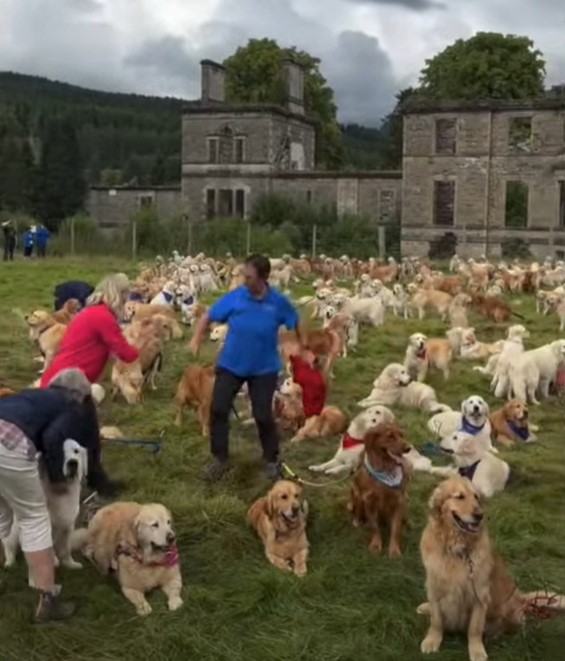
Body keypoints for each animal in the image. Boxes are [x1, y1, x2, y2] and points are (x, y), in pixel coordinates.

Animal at [2, 444, 87, 576]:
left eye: (76, 451)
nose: (73, 463)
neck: (60, 490)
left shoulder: (67, 527)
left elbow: (66, 550)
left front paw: (70, 564)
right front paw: (54, 561)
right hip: (14, 529)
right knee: (9, 545)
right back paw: (10, 563)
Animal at [348, 420, 410, 556]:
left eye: (402, 435)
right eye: (390, 436)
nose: (408, 448)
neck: (385, 469)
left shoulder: (398, 501)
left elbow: (396, 528)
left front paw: (394, 549)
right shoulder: (369, 501)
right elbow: (374, 527)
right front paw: (376, 545)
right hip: (356, 491)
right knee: (358, 507)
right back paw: (357, 519)